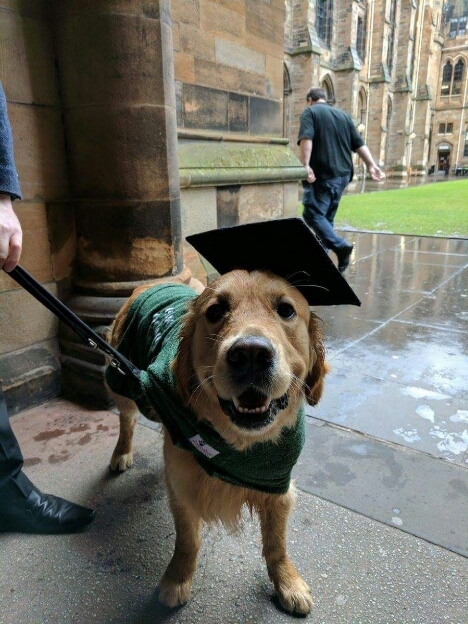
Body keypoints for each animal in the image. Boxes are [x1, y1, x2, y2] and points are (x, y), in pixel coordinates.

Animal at [106, 270, 328, 616]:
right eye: (215, 311)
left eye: (286, 310)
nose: (251, 354)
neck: (238, 444)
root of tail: (150, 282)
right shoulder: (183, 486)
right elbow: (187, 541)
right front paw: (176, 579)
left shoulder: (278, 485)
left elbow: (276, 544)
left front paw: (288, 582)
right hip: (122, 380)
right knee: (126, 421)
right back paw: (121, 453)